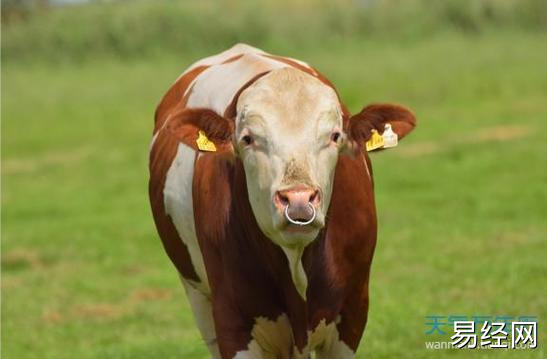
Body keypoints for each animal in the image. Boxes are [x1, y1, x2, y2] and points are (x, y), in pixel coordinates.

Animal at [149, 43, 416, 358]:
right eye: (248, 138)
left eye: (334, 136)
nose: (298, 199)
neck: (296, 260)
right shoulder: (232, 321)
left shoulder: (353, 311)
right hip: (197, 295)